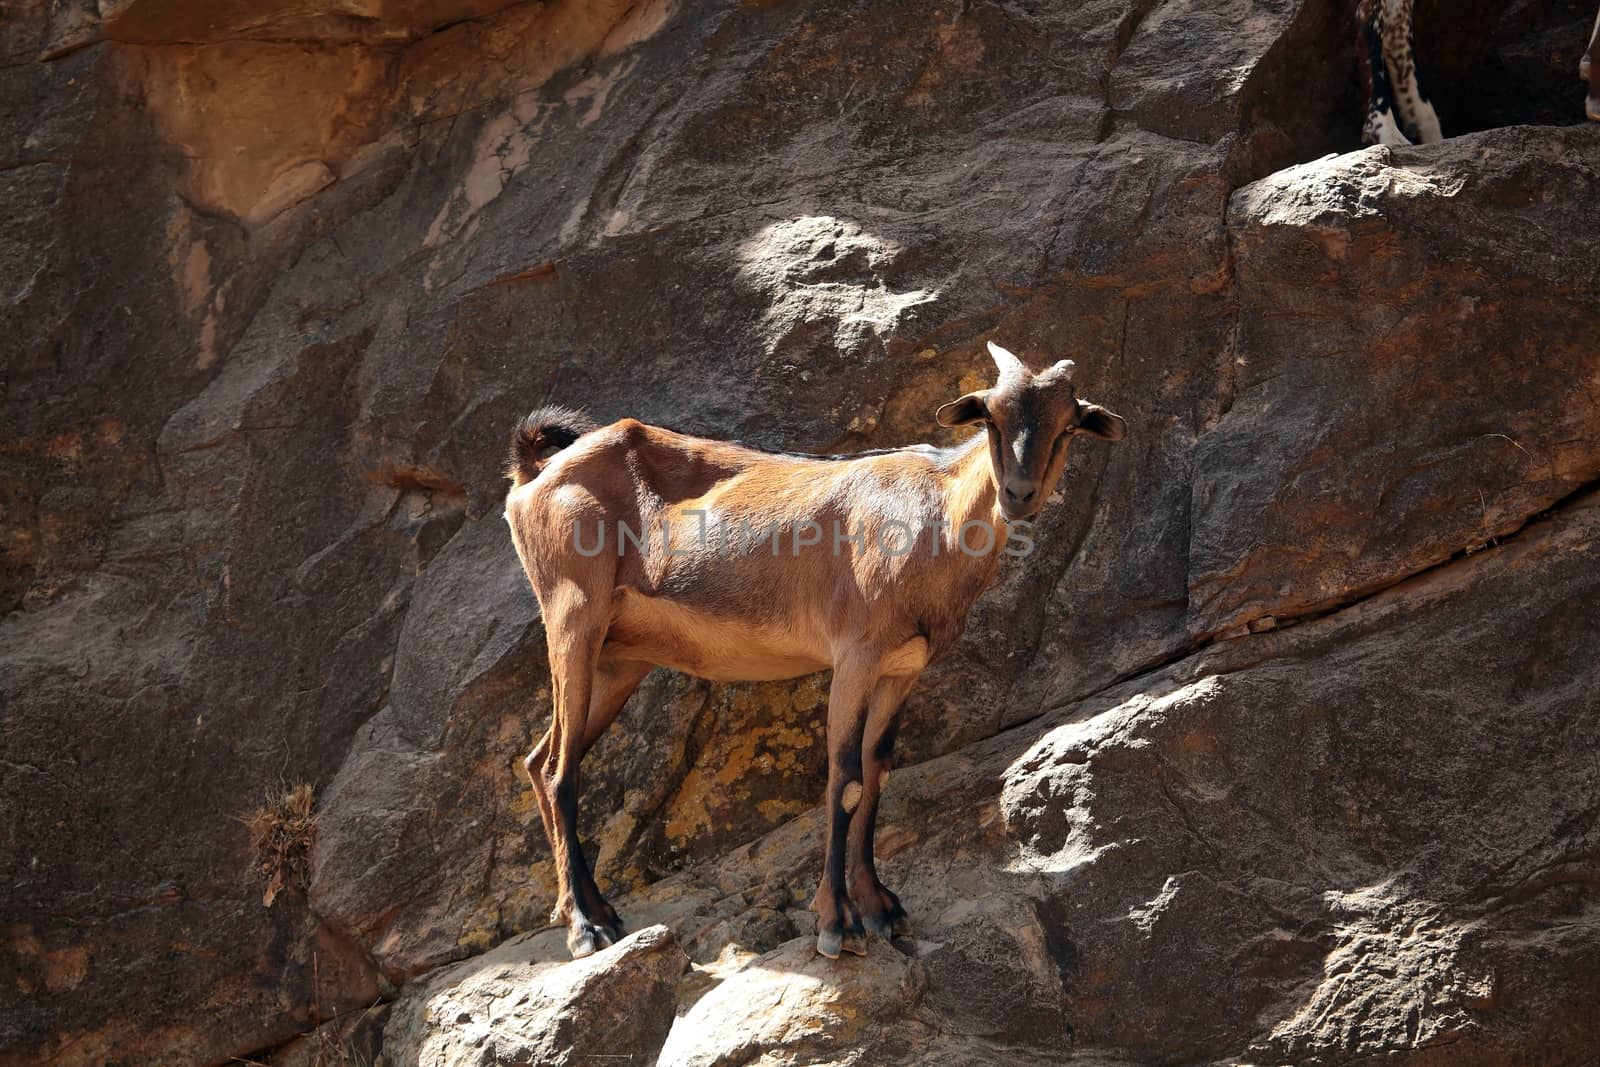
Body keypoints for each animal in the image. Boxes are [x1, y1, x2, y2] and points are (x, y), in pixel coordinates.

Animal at [499, 343, 1126, 959]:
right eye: (991, 416)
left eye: (1069, 425)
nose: (1019, 494)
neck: (934, 519)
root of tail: (534, 474)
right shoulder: (854, 657)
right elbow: (844, 779)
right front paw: (836, 923)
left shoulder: (902, 669)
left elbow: (876, 772)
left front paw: (882, 910)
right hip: (572, 616)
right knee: (558, 770)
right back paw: (584, 926)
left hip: (620, 659)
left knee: (540, 758)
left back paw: (585, 908)